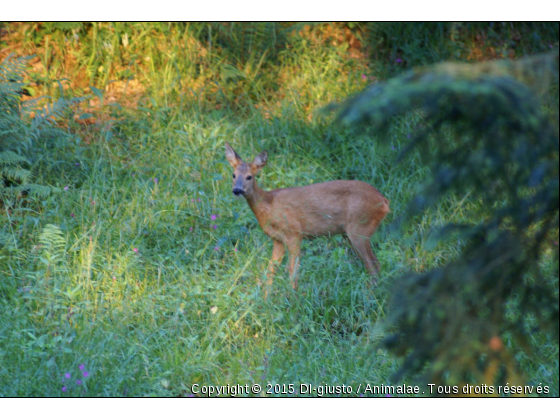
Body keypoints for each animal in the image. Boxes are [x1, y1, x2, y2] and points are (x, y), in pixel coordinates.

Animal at [224, 143, 390, 296]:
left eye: (249, 177)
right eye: (233, 175)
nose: (237, 190)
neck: (269, 205)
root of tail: (384, 201)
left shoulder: (294, 233)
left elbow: (292, 270)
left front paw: (291, 298)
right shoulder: (278, 239)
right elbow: (271, 270)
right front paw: (266, 300)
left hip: (360, 228)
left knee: (374, 265)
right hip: (350, 233)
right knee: (375, 265)